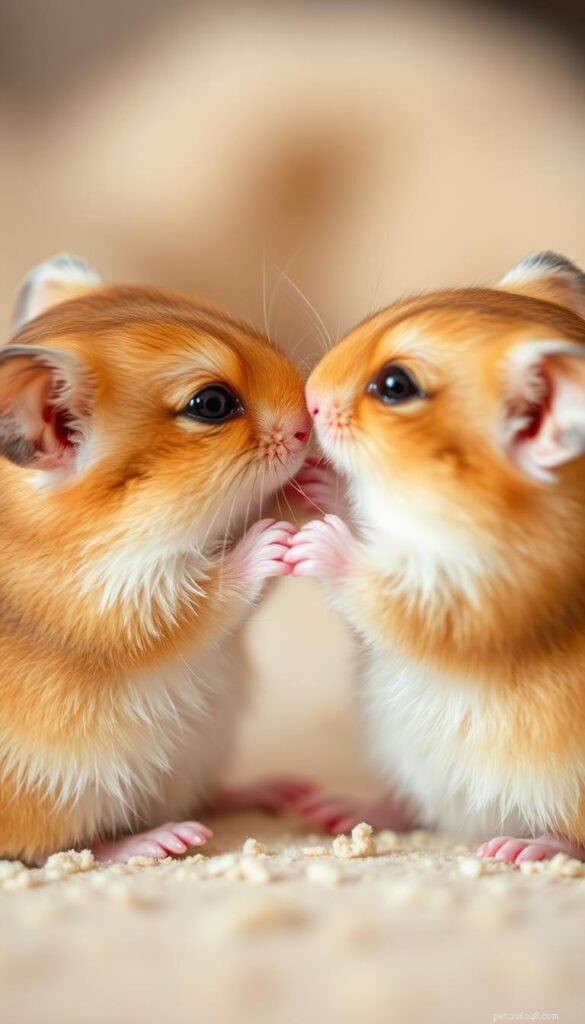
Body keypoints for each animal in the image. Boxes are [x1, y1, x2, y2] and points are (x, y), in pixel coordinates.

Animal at [0, 253, 312, 864]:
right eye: (211, 404)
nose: (308, 425)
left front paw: (306, 492)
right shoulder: (118, 606)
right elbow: (204, 595)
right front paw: (271, 539)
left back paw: (274, 790)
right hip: (50, 795)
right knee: (60, 851)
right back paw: (160, 840)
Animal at [286, 251, 585, 865]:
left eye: (395, 386)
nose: (310, 395)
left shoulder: (478, 601)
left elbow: (386, 592)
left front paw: (314, 542)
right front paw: (319, 486)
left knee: (571, 836)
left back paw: (522, 849)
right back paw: (333, 809)